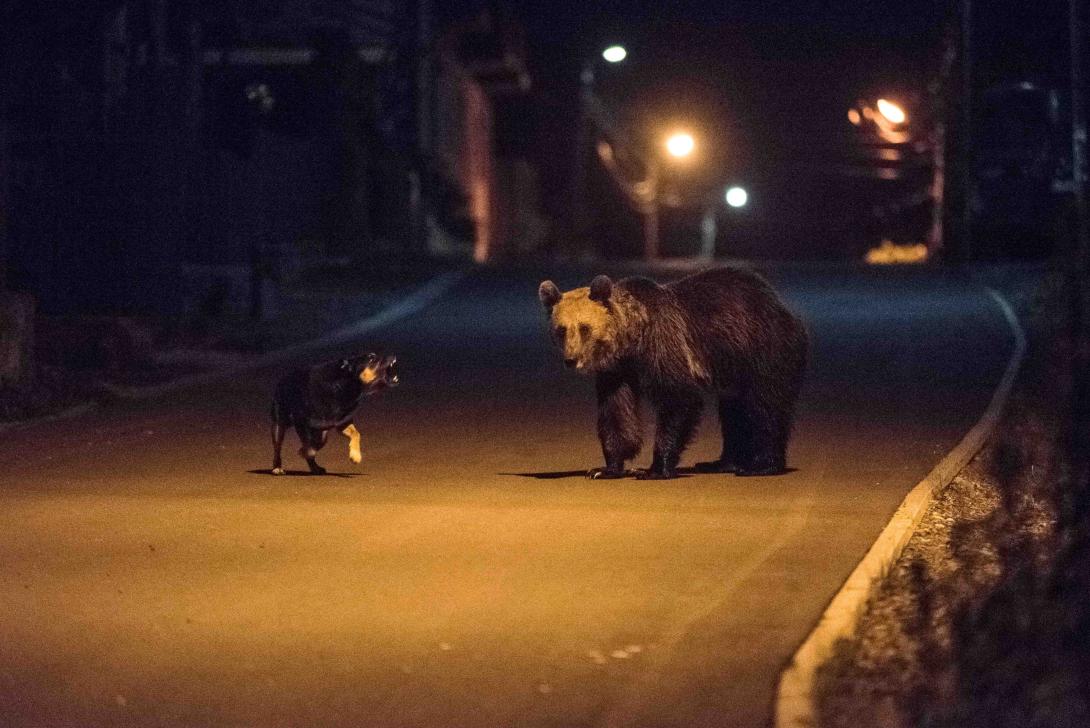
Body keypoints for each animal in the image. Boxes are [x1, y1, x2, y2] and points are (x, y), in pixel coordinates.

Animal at [270, 353, 398, 477]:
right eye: (371, 359)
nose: (392, 356)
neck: (344, 386)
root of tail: (284, 378)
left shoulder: (343, 423)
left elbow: (356, 434)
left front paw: (355, 455)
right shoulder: (301, 423)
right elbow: (310, 446)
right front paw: (305, 451)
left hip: (322, 433)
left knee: (319, 442)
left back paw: (315, 468)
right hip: (278, 425)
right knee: (277, 448)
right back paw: (277, 468)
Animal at [538, 265, 810, 477]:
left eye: (584, 328)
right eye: (561, 329)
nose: (571, 360)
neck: (632, 338)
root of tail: (782, 307)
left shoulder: (664, 344)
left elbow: (678, 398)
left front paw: (654, 468)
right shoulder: (617, 371)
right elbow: (616, 411)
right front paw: (606, 468)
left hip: (763, 350)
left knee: (765, 405)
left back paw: (761, 465)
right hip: (733, 370)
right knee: (733, 410)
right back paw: (721, 462)